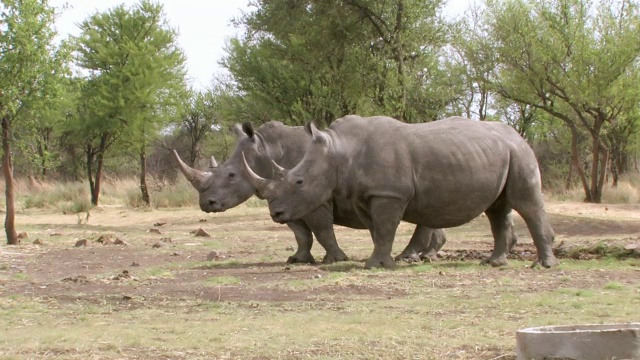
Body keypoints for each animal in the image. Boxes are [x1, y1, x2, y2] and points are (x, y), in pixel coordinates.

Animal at [171, 121, 450, 264]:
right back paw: (427, 255)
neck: (267, 151)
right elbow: (301, 234)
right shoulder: (285, 199)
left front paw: (335, 259)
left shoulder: (312, 197)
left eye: (231, 175)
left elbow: (322, 229)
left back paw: (414, 257)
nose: (206, 203)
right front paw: (298, 260)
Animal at [242, 116, 556, 270]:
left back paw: (542, 266)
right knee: (497, 209)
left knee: (525, 203)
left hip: (519, 153)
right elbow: (378, 230)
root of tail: (518, 135)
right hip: (501, 153)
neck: (340, 152)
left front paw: (375, 266)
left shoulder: (388, 193)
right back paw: (493, 264)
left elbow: (384, 228)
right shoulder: (367, 195)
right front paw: (382, 262)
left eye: (299, 182)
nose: (276, 213)